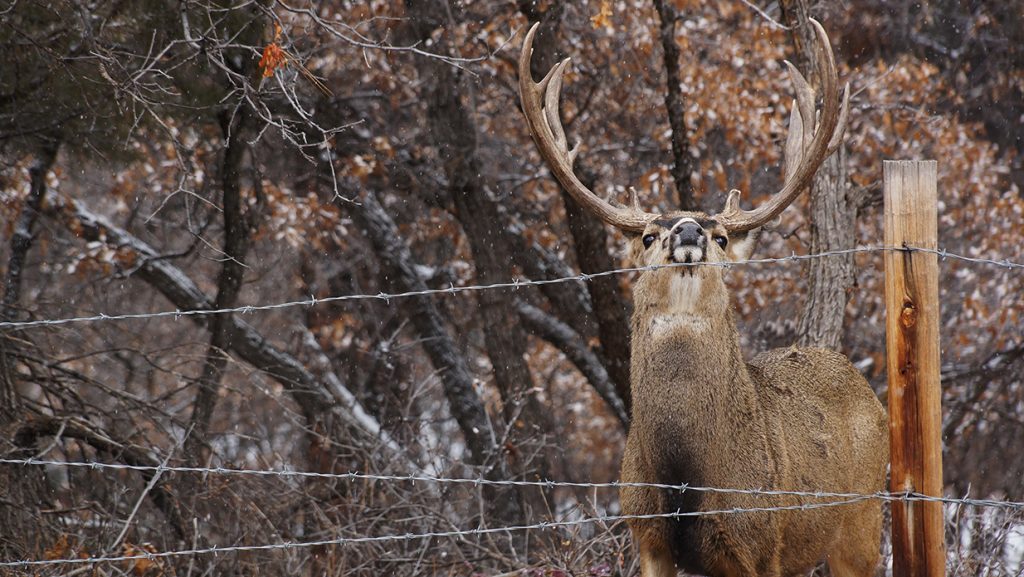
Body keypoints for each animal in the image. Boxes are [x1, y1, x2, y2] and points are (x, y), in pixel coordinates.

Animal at [520, 20, 888, 577]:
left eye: (721, 237)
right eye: (648, 235)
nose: (689, 229)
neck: (685, 477)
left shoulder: (758, 540)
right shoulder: (645, 533)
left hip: (862, 517)